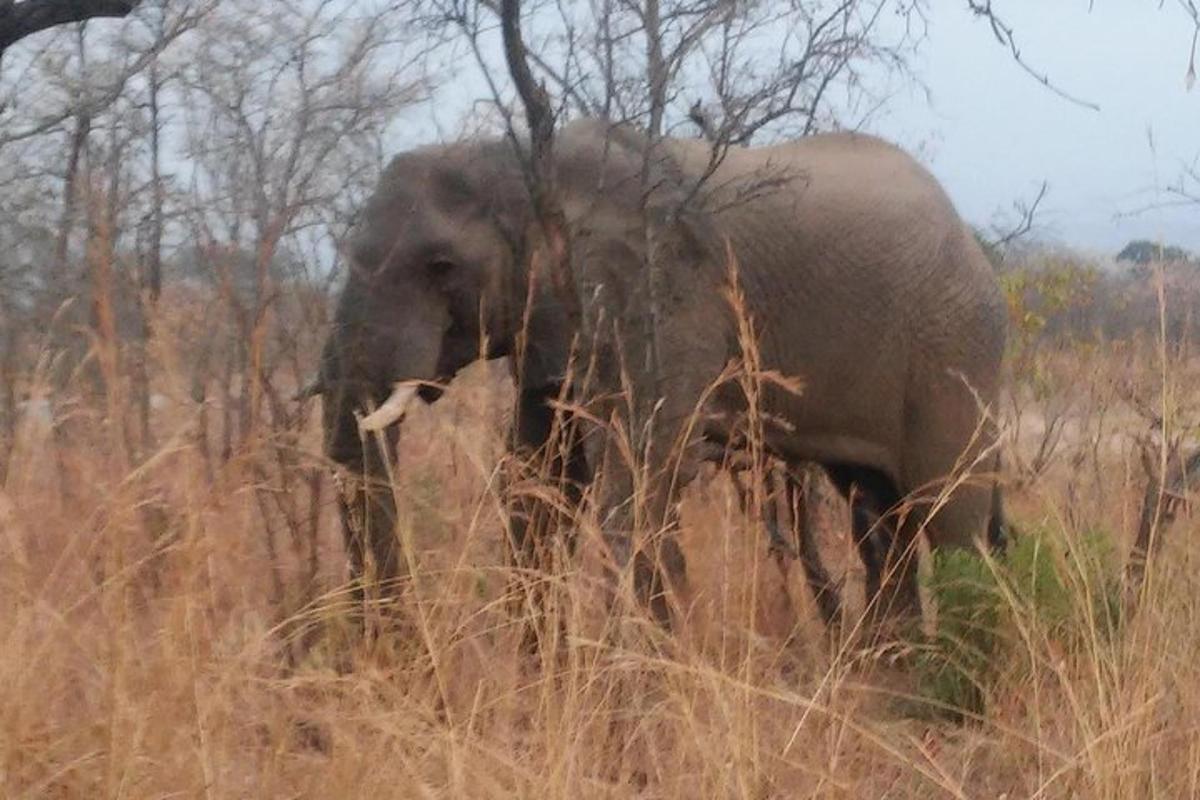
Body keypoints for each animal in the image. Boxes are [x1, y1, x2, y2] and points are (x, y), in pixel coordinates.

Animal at [314, 115, 1008, 633]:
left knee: (950, 516)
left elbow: (642, 478)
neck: (515, 157)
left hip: (955, 345)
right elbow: (539, 483)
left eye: (441, 266)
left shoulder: (665, 294)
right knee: (879, 523)